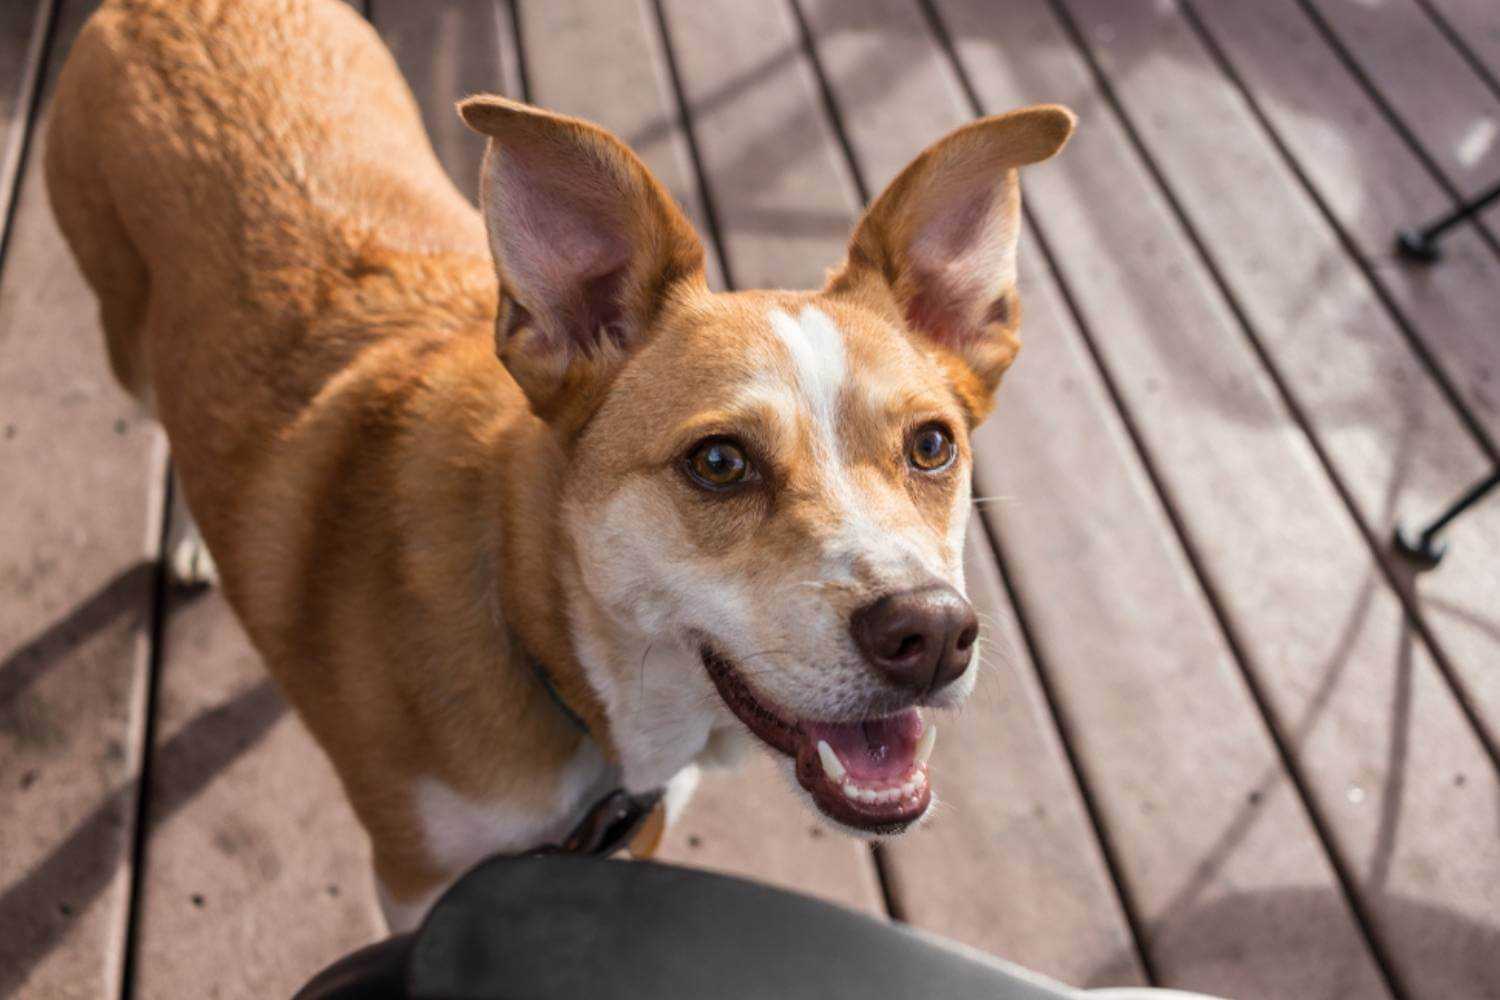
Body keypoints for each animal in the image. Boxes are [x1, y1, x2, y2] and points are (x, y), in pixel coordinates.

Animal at [46, 0, 1074, 929]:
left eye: (932, 446)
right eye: (718, 461)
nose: (932, 633)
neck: (538, 620)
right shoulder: (418, 883)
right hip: (123, 338)